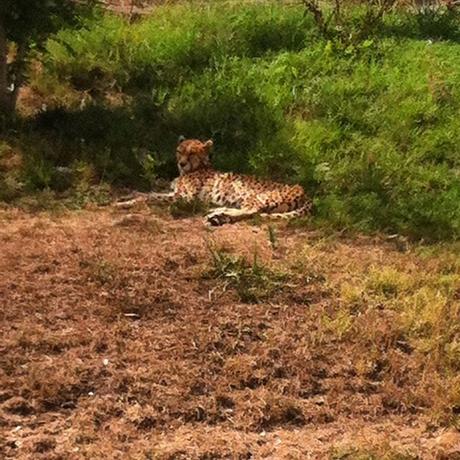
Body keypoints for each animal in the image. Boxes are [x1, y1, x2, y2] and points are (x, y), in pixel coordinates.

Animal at [117, 137, 312, 226]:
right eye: (180, 151)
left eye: (192, 153)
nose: (181, 163)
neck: (197, 167)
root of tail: (303, 190)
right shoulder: (175, 192)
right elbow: (152, 192)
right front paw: (127, 195)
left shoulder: (186, 199)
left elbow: (151, 197)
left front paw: (125, 203)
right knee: (249, 211)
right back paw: (217, 213)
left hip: (255, 195)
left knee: (253, 210)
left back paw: (217, 213)